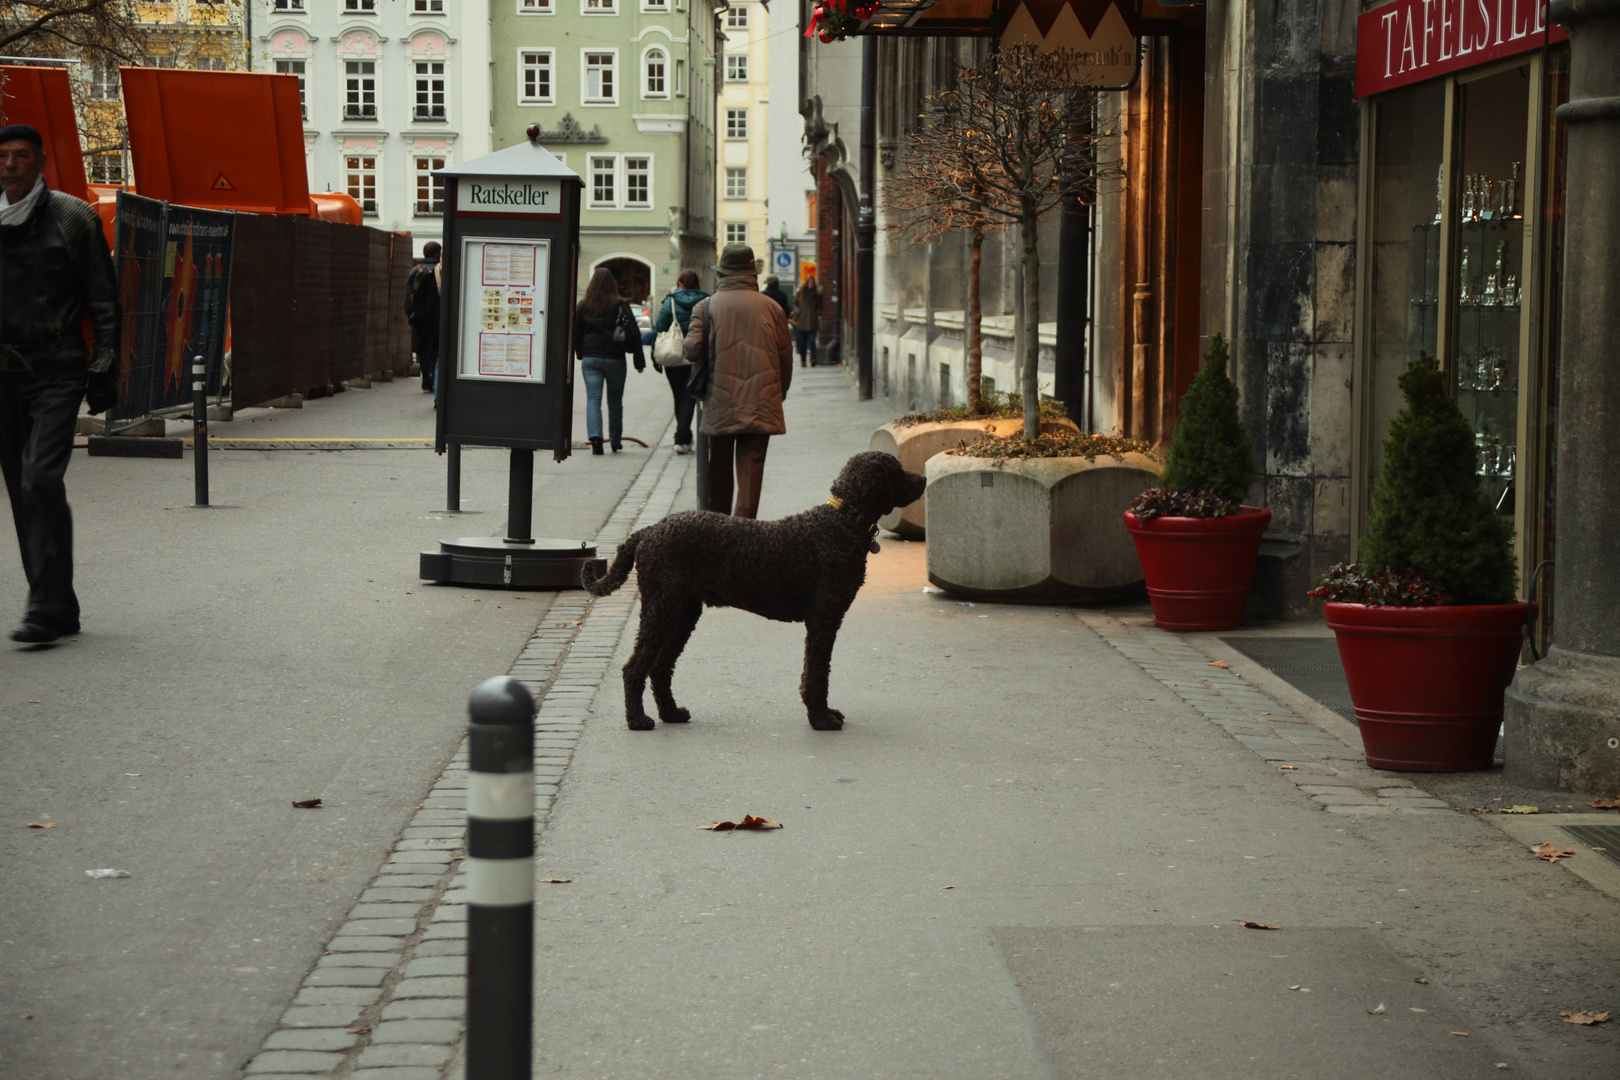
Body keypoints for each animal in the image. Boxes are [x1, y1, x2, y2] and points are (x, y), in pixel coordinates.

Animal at [586, 453, 926, 731]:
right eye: (896, 470)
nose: (923, 478)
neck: (839, 524)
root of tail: (648, 530)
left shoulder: (824, 620)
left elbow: (818, 672)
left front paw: (823, 714)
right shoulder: (823, 618)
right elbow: (817, 674)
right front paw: (820, 719)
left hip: (683, 612)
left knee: (659, 666)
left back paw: (671, 714)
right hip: (662, 608)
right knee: (634, 667)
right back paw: (637, 720)